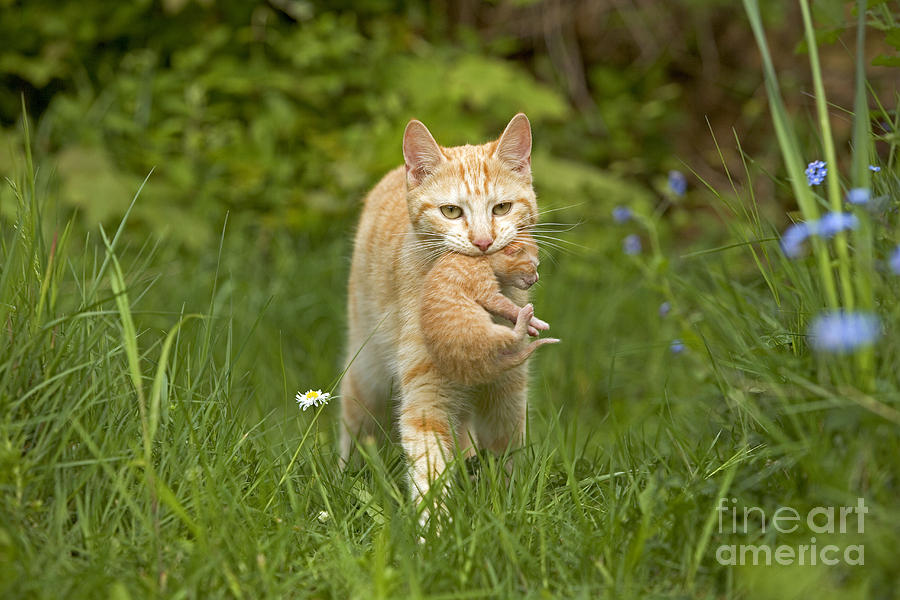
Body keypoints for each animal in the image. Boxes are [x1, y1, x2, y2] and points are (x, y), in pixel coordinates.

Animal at [342, 113, 540, 520]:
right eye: (451, 211)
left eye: (502, 208)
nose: (482, 241)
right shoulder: (426, 397)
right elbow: (430, 469)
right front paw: (435, 529)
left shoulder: (507, 395)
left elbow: (507, 455)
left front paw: (509, 508)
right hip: (366, 376)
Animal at [420, 232, 560, 386]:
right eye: (533, 265)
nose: (537, 278)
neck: (481, 257)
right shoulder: (487, 292)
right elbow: (510, 307)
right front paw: (537, 322)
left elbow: (508, 311)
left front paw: (532, 328)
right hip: (483, 333)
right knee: (514, 337)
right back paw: (525, 314)